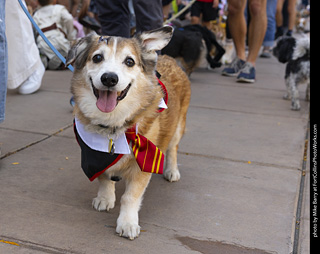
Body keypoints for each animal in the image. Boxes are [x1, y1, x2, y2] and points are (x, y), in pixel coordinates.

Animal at [65, 26, 190, 239]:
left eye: (129, 61)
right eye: (97, 58)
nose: (109, 78)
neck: (113, 125)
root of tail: (169, 58)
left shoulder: (143, 163)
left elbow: (130, 197)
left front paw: (128, 223)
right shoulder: (96, 157)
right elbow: (104, 178)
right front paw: (105, 198)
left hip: (178, 126)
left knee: (173, 148)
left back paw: (171, 171)